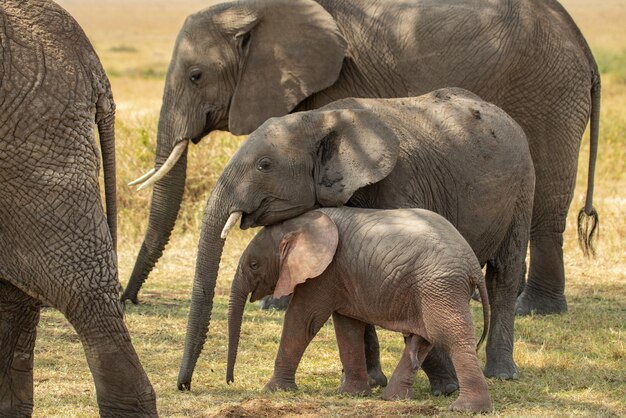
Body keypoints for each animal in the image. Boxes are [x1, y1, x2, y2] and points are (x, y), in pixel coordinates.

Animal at [123, 0, 600, 316]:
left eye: (196, 75)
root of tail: (581, 40)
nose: (130, 301)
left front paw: (277, 306)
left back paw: (533, 309)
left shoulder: (332, 85)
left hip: (550, 94)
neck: (253, 8)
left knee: (547, 202)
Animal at [227, 207, 490, 414]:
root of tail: (473, 265)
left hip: (440, 286)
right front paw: (351, 394)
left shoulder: (324, 273)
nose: (231, 380)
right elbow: (347, 327)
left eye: (253, 265)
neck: (301, 223)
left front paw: (272, 389)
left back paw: (466, 409)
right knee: (421, 339)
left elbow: (303, 320)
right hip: (430, 290)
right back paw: (392, 398)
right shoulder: (339, 276)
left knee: (451, 337)